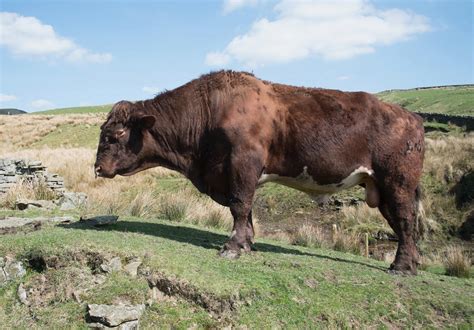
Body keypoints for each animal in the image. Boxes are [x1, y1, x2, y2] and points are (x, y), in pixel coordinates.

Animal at [94, 71, 424, 274]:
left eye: (116, 134)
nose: (97, 167)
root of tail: (410, 116)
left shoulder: (243, 165)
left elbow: (240, 205)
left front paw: (233, 247)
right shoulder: (235, 174)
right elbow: (245, 209)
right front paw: (247, 243)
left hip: (397, 183)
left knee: (406, 221)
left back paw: (401, 267)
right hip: (380, 187)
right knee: (401, 224)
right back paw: (410, 263)